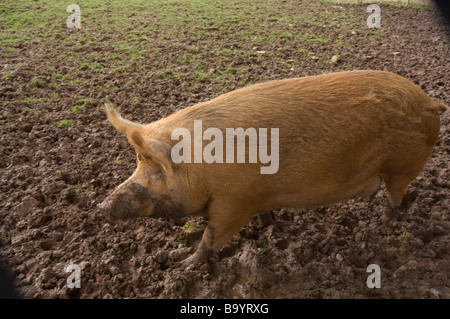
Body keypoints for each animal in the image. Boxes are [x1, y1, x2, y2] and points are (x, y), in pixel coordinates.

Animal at [98, 70, 446, 268]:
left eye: (153, 172)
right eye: (137, 165)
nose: (101, 206)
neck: (201, 168)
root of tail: (429, 102)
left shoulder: (234, 202)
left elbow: (211, 236)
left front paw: (182, 265)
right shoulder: (254, 197)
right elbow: (264, 215)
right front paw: (269, 228)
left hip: (403, 164)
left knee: (397, 195)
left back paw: (384, 222)